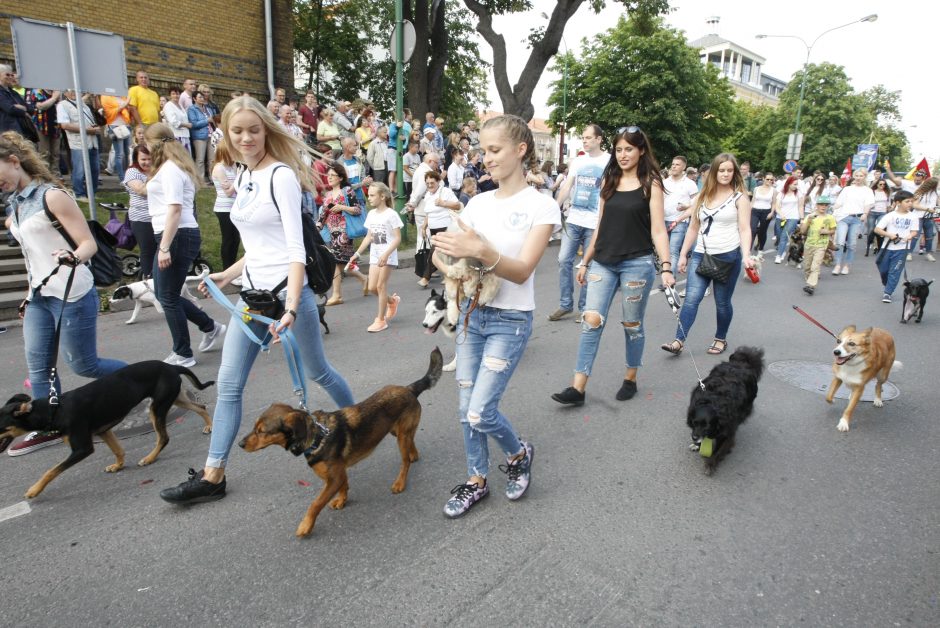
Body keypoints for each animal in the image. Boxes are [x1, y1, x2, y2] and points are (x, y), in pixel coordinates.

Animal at [235, 346, 440, 536]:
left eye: (262, 431)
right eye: (254, 426)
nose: (240, 444)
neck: (317, 436)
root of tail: (409, 388)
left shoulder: (334, 478)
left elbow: (315, 503)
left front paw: (306, 525)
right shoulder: (338, 474)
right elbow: (344, 487)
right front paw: (342, 500)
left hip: (401, 437)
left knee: (404, 462)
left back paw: (400, 482)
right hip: (397, 432)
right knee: (411, 442)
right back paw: (414, 454)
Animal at [692, 346, 764, 474]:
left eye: (707, 426)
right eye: (694, 423)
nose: (694, 438)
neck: (712, 401)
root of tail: (741, 363)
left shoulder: (728, 428)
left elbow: (721, 448)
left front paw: (711, 463)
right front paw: (697, 445)